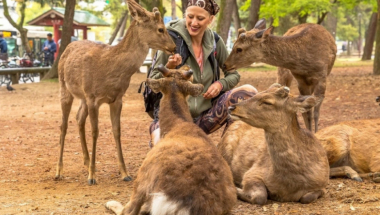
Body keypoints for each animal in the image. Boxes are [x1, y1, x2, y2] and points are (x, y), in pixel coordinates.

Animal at [55, 0, 177, 185]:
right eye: (161, 29)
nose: (174, 47)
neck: (110, 69)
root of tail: (68, 47)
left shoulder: (117, 99)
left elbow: (117, 131)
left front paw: (125, 173)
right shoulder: (93, 97)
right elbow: (95, 131)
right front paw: (92, 176)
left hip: (82, 97)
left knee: (79, 118)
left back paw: (86, 162)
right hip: (65, 88)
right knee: (63, 125)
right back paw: (59, 171)